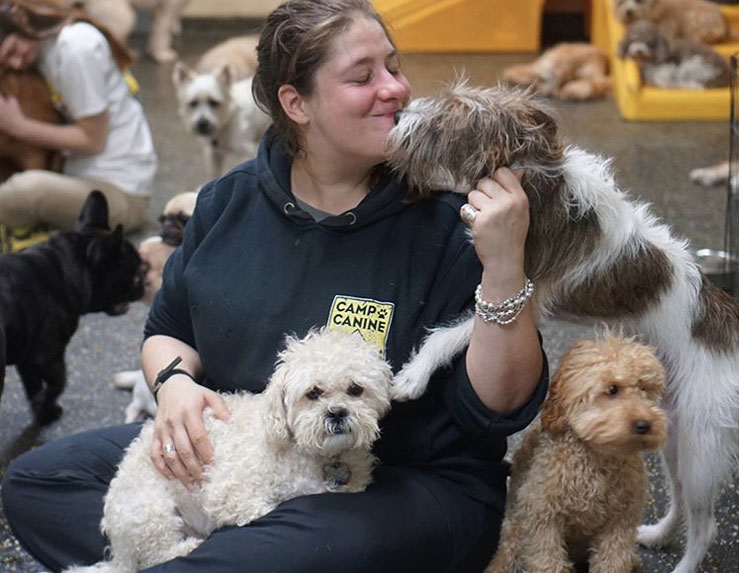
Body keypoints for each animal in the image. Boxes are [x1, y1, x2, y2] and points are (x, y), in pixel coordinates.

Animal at [65, 326, 394, 572]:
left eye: (355, 389)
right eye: (313, 393)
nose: (337, 413)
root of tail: (118, 551)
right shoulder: (227, 492)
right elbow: (257, 507)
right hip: (150, 511)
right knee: (154, 555)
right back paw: (186, 546)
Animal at [488, 332, 668, 572]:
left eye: (645, 389)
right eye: (612, 389)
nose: (645, 424)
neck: (596, 458)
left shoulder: (620, 522)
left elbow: (612, 560)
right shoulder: (542, 516)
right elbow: (548, 561)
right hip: (514, 532)